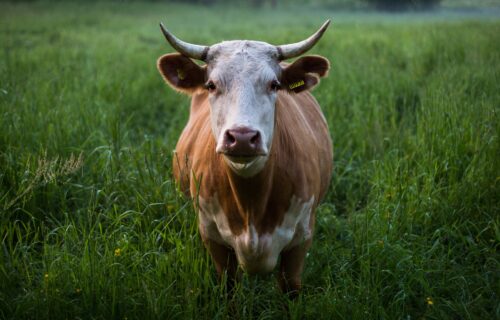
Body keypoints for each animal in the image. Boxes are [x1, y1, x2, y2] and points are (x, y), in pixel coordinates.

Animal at [158, 19, 334, 296]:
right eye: (211, 85)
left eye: (274, 85)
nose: (242, 137)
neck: (252, 204)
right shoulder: (213, 239)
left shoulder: (301, 241)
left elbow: (290, 287)